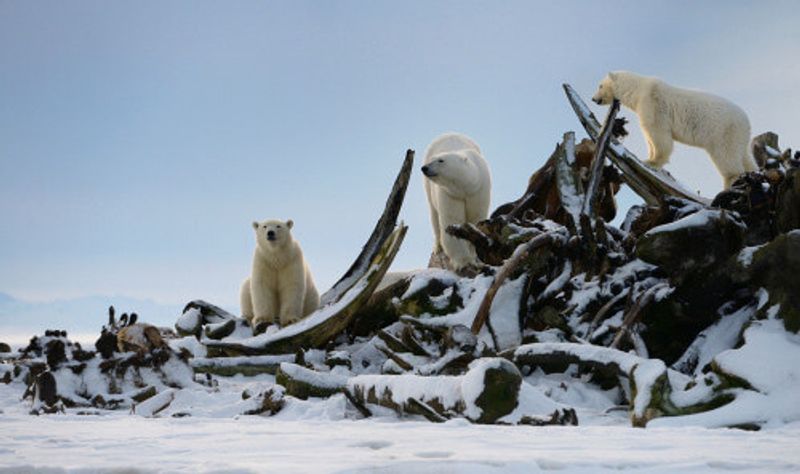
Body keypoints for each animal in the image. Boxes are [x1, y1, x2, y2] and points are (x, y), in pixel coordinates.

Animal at [422, 133, 490, 272]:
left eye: (441, 160)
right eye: (432, 159)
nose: (424, 168)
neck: (465, 187)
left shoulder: (478, 191)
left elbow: (475, 219)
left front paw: (475, 259)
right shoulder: (450, 194)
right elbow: (452, 221)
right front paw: (463, 262)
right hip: (428, 189)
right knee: (434, 215)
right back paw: (438, 247)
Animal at [592, 71, 756, 189]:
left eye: (600, 86)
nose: (593, 99)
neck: (638, 90)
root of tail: (747, 121)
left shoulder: (653, 104)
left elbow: (658, 134)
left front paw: (651, 162)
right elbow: (649, 137)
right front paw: (649, 157)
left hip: (724, 131)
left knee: (726, 156)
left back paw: (730, 183)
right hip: (739, 136)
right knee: (744, 156)